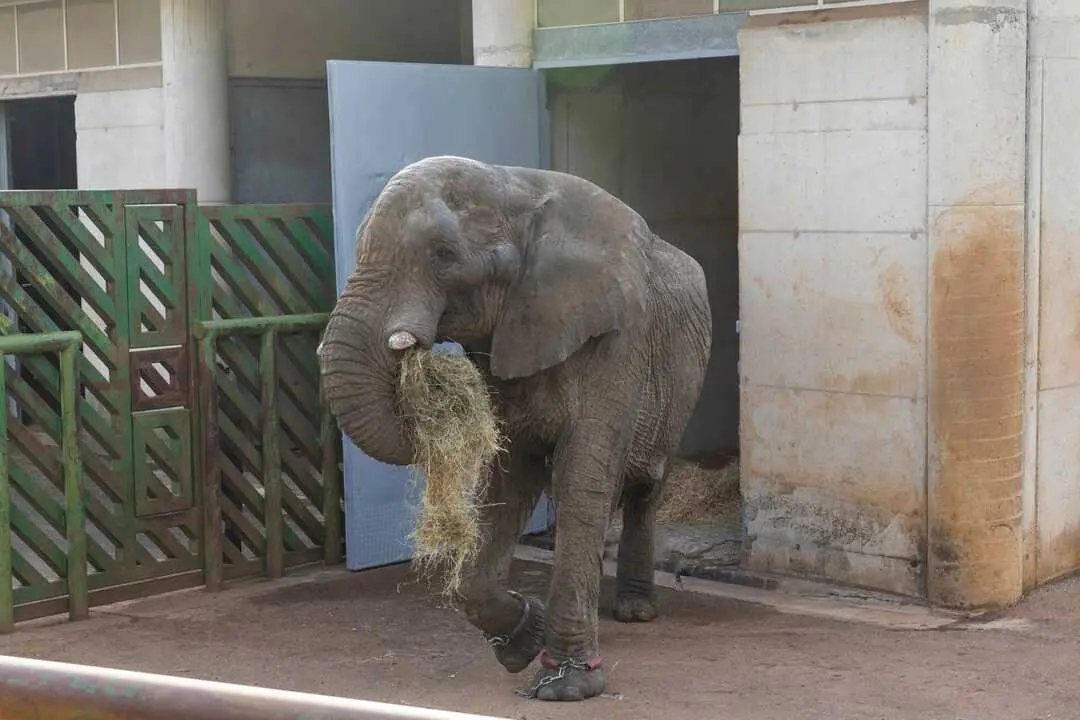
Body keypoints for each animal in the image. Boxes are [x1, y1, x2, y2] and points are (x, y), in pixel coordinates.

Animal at [317, 155, 712, 702]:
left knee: (642, 488)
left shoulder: (618, 341)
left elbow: (581, 480)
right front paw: (526, 640)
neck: (514, 187)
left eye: (443, 255)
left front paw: (567, 685)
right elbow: (508, 478)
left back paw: (634, 612)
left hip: (680, 391)